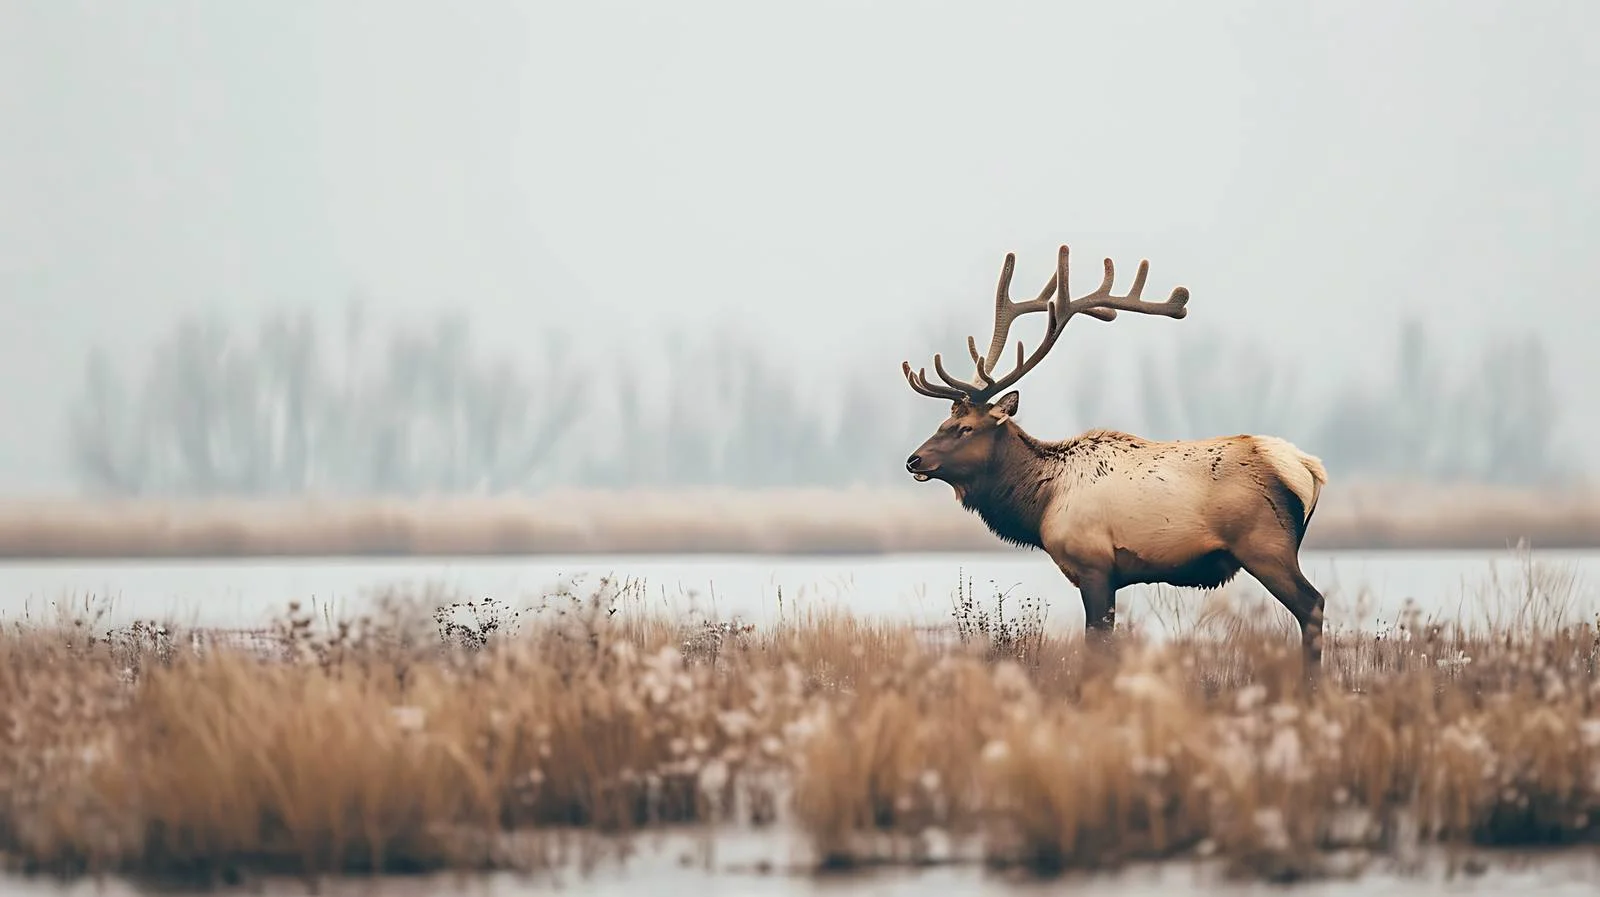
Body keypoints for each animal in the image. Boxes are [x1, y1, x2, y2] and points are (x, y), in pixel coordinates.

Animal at [902, 244, 1329, 682]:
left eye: (965, 428)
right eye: (943, 422)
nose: (913, 460)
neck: (1040, 504)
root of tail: (1306, 467)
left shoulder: (1094, 565)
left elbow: (1096, 644)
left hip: (1266, 545)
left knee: (1312, 605)